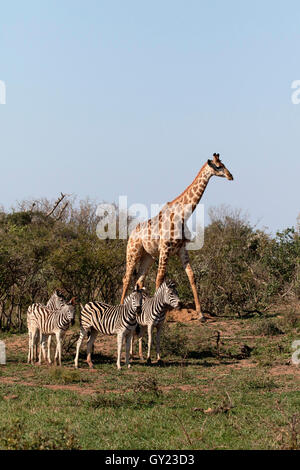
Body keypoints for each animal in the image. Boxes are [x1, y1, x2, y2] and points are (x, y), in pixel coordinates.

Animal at [120, 153, 233, 320]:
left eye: (224, 164)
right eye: (218, 166)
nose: (230, 176)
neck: (183, 214)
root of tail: (132, 233)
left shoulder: (181, 249)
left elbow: (191, 276)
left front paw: (200, 314)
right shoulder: (165, 248)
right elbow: (160, 277)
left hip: (148, 256)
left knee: (139, 280)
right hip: (133, 252)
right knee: (126, 278)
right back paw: (121, 307)